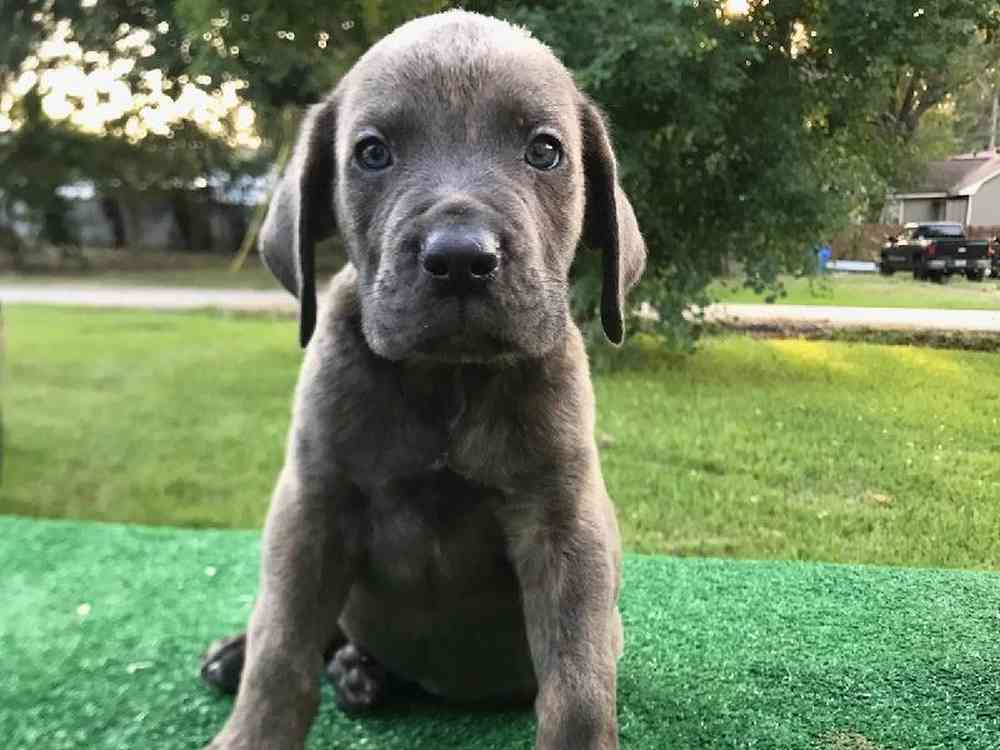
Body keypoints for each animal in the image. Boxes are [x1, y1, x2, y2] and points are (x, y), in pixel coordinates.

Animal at [199, 10, 644, 750]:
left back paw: (358, 673)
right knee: (302, 630)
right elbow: (281, 648)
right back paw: (259, 657)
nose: (461, 259)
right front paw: (252, 726)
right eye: (373, 153)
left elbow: (577, 684)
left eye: (545, 151)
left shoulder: (565, 526)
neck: (447, 382)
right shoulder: (312, 507)